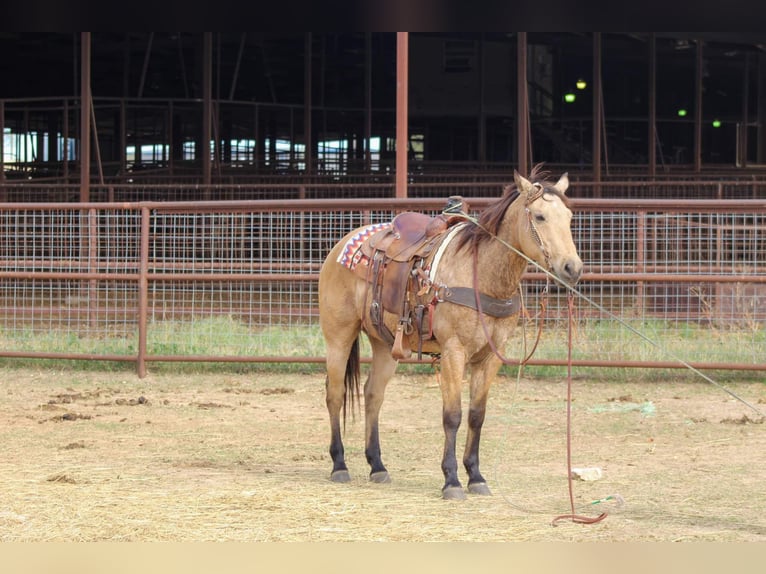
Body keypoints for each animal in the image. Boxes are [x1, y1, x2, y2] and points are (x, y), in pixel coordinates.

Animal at [318, 165, 583, 500]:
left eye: (569, 217)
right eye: (539, 216)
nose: (572, 268)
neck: (482, 274)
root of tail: (343, 244)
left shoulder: (491, 356)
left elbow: (476, 415)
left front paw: (476, 476)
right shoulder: (454, 352)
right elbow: (452, 415)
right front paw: (452, 480)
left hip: (385, 345)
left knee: (373, 394)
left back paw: (377, 466)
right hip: (339, 336)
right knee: (335, 394)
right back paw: (339, 464)